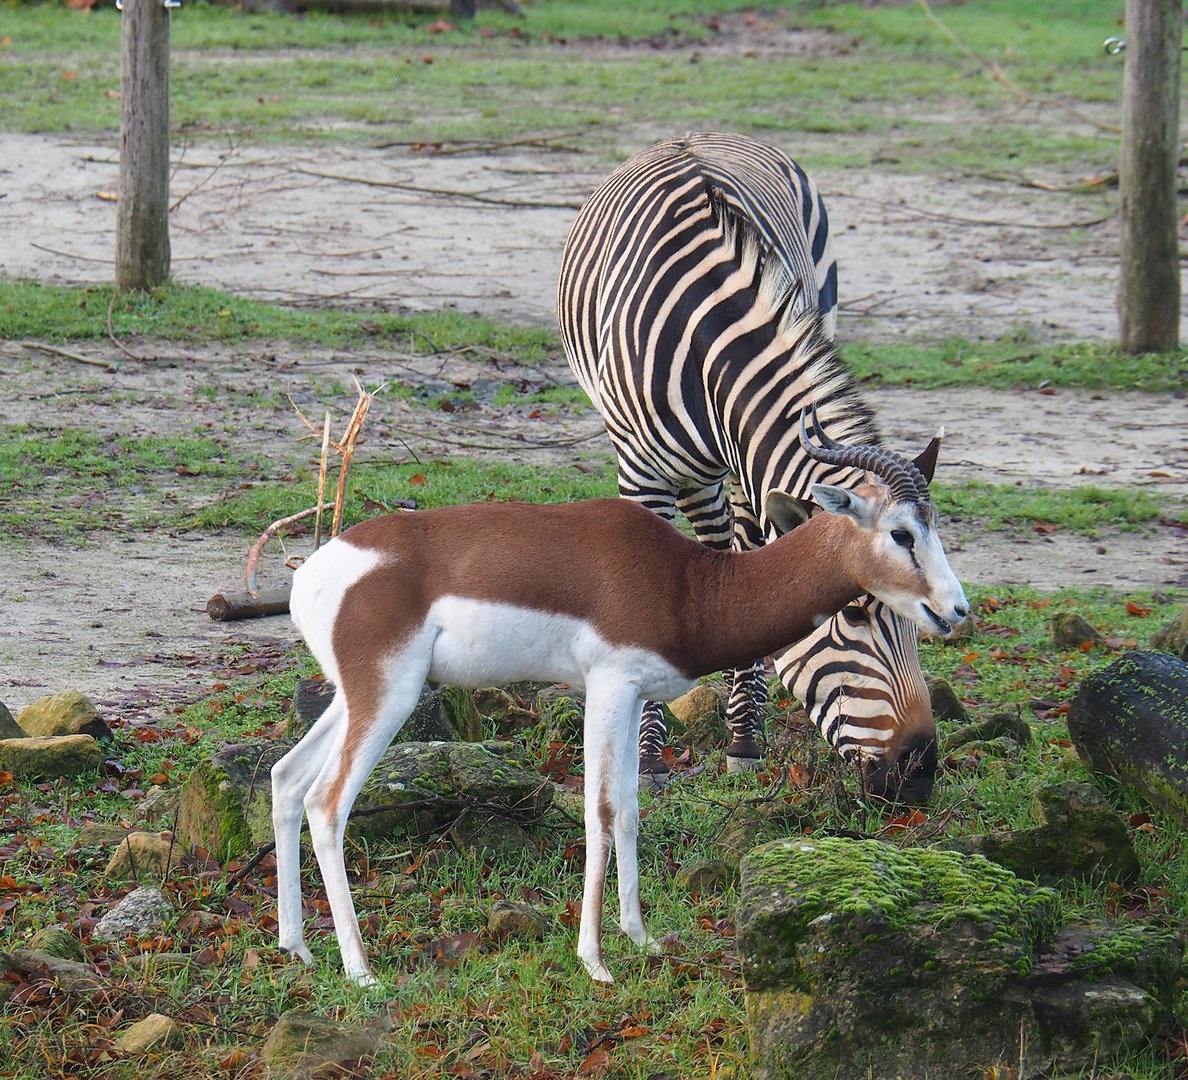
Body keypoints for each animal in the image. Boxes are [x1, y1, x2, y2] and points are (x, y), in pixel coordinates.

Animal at [271, 408, 968, 986]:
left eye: (934, 527)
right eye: (902, 534)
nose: (956, 609)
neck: (691, 585)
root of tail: (310, 575)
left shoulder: (635, 699)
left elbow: (631, 809)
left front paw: (641, 937)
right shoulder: (608, 687)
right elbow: (600, 811)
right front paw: (595, 961)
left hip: (355, 696)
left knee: (286, 778)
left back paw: (297, 947)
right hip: (388, 695)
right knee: (327, 804)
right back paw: (361, 971)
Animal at [557, 131, 940, 803]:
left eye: (919, 622)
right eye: (853, 613)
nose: (920, 772)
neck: (711, 342)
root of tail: (701, 134)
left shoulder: (750, 469)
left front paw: (743, 739)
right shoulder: (641, 474)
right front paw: (646, 758)